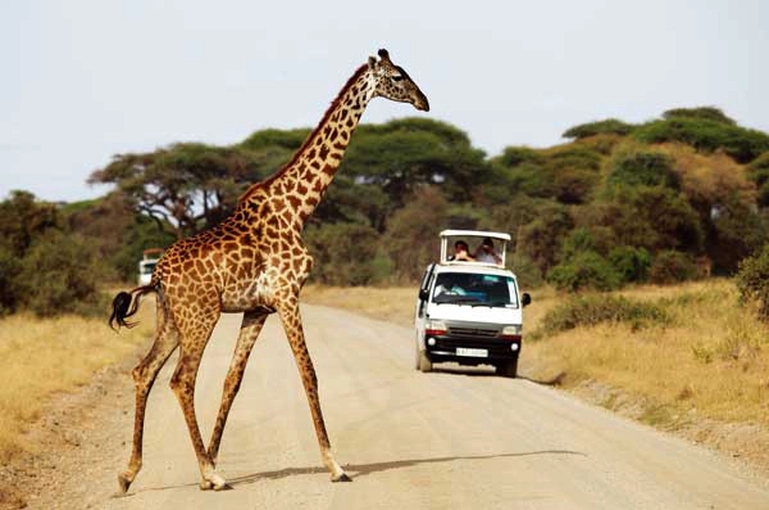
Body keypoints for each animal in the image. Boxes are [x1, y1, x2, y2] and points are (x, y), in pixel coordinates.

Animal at [109, 49, 429, 493]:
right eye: (398, 76)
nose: (423, 102)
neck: (297, 208)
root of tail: (155, 277)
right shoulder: (288, 294)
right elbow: (309, 372)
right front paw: (335, 465)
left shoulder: (257, 308)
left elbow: (233, 380)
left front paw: (213, 456)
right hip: (200, 316)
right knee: (181, 379)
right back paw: (210, 474)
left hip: (171, 319)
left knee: (144, 372)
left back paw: (130, 473)